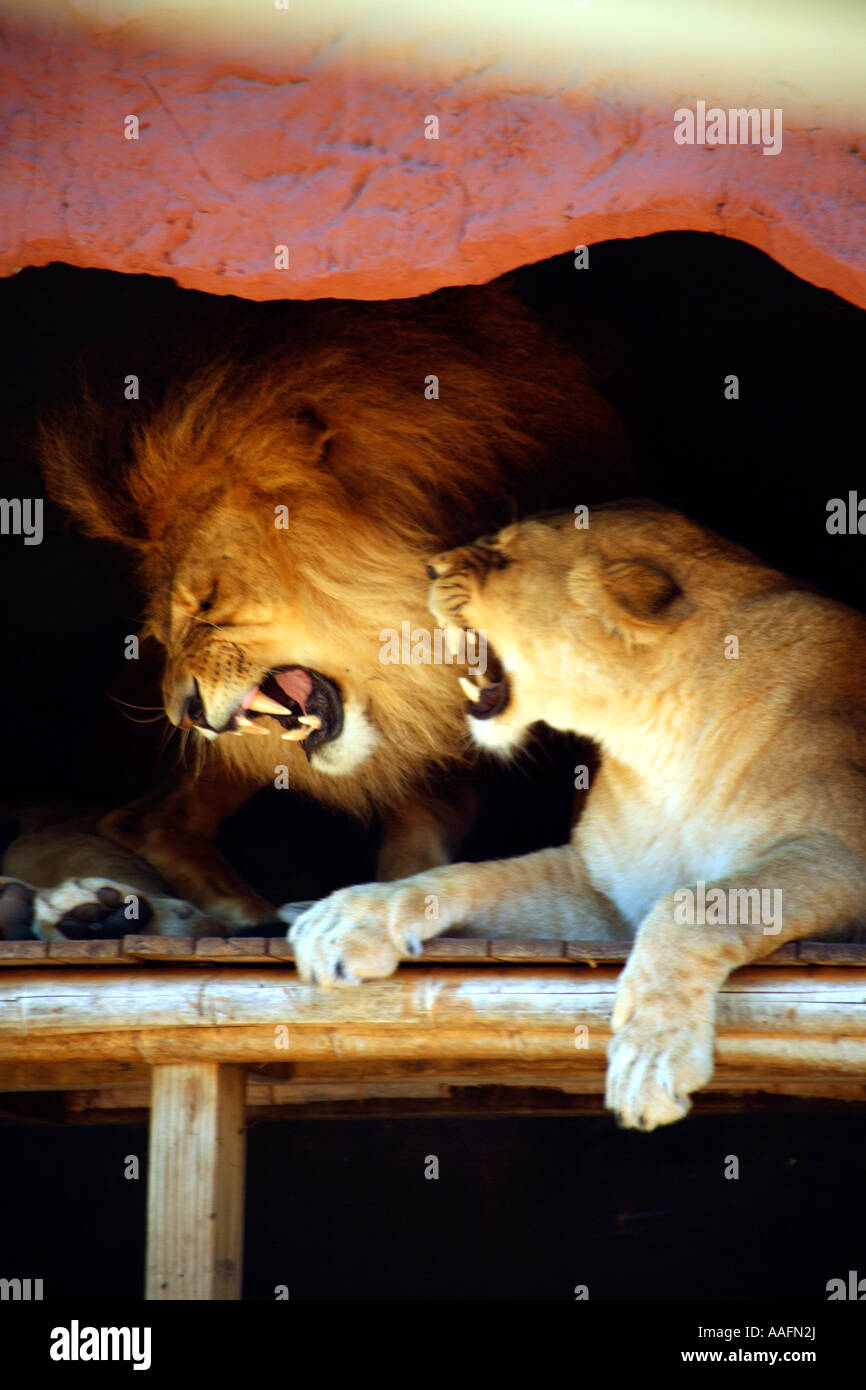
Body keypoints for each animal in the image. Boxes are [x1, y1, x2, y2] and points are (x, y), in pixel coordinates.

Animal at [289, 508, 866, 1128]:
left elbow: (691, 906)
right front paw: (346, 919)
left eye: (504, 556)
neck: (653, 739)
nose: (429, 567)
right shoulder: (606, 891)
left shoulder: (838, 852)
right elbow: (470, 876)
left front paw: (649, 1059)